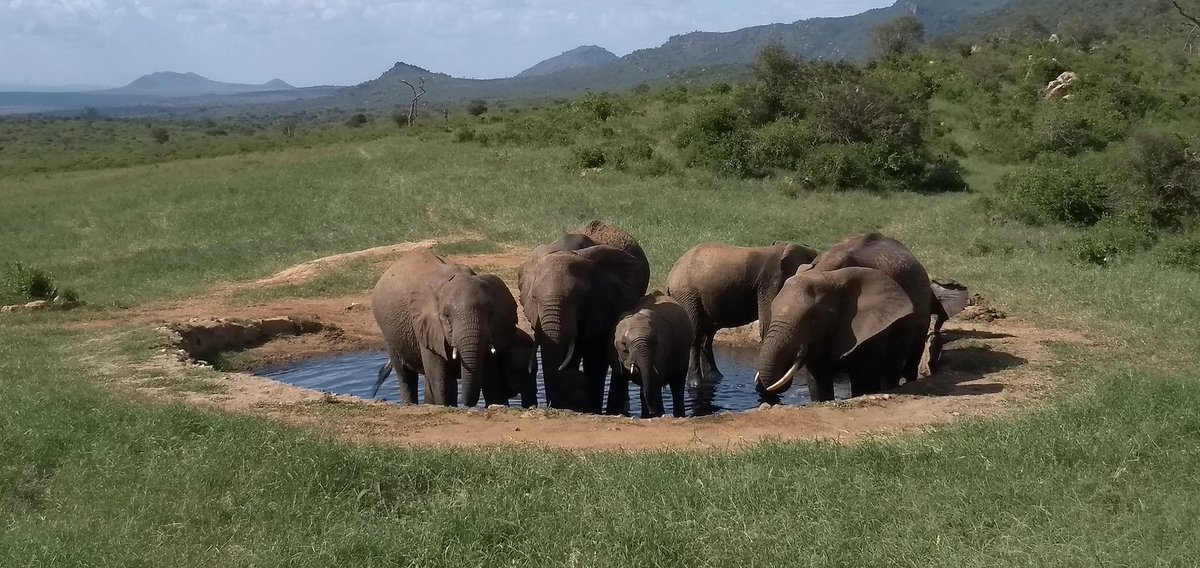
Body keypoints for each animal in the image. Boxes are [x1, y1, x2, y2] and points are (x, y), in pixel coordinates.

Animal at [370, 249, 533, 407]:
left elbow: (492, 380)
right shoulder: (427, 328)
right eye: (447, 317)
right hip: (388, 334)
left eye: (490, 313)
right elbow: (442, 381)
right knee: (406, 376)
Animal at [665, 242, 819, 384]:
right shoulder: (770, 281)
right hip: (688, 296)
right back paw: (696, 383)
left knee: (707, 335)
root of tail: (670, 276)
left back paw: (715, 378)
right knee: (695, 335)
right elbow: (767, 322)